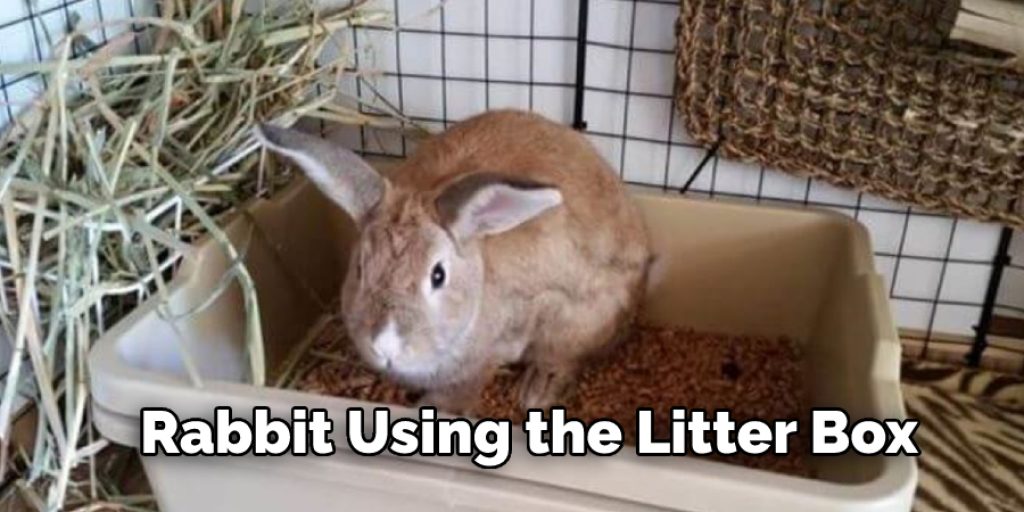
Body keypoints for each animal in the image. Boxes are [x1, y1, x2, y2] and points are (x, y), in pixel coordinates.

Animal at [260, 110, 651, 413]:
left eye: (438, 276)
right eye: (359, 268)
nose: (384, 344)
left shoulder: (495, 350)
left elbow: (465, 388)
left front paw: (435, 408)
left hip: (581, 318)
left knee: (566, 356)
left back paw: (536, 391)